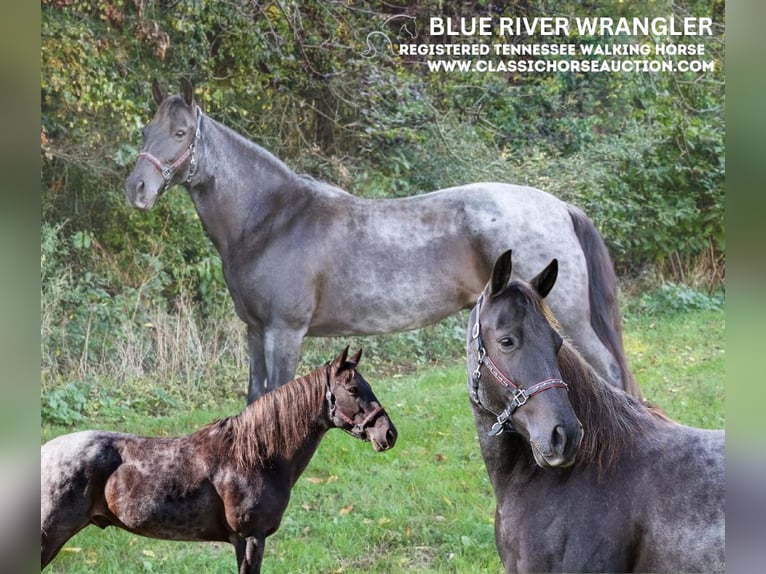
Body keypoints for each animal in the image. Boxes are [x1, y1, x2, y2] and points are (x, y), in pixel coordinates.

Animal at [127, 79, 640, 404]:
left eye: (180, 133)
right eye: (147, 131)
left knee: (610, 372)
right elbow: (256, 399)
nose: (136, 189)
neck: (271, 219)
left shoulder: (284, 333)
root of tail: (559, 206)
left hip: (570, 315)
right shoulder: (255, 331)